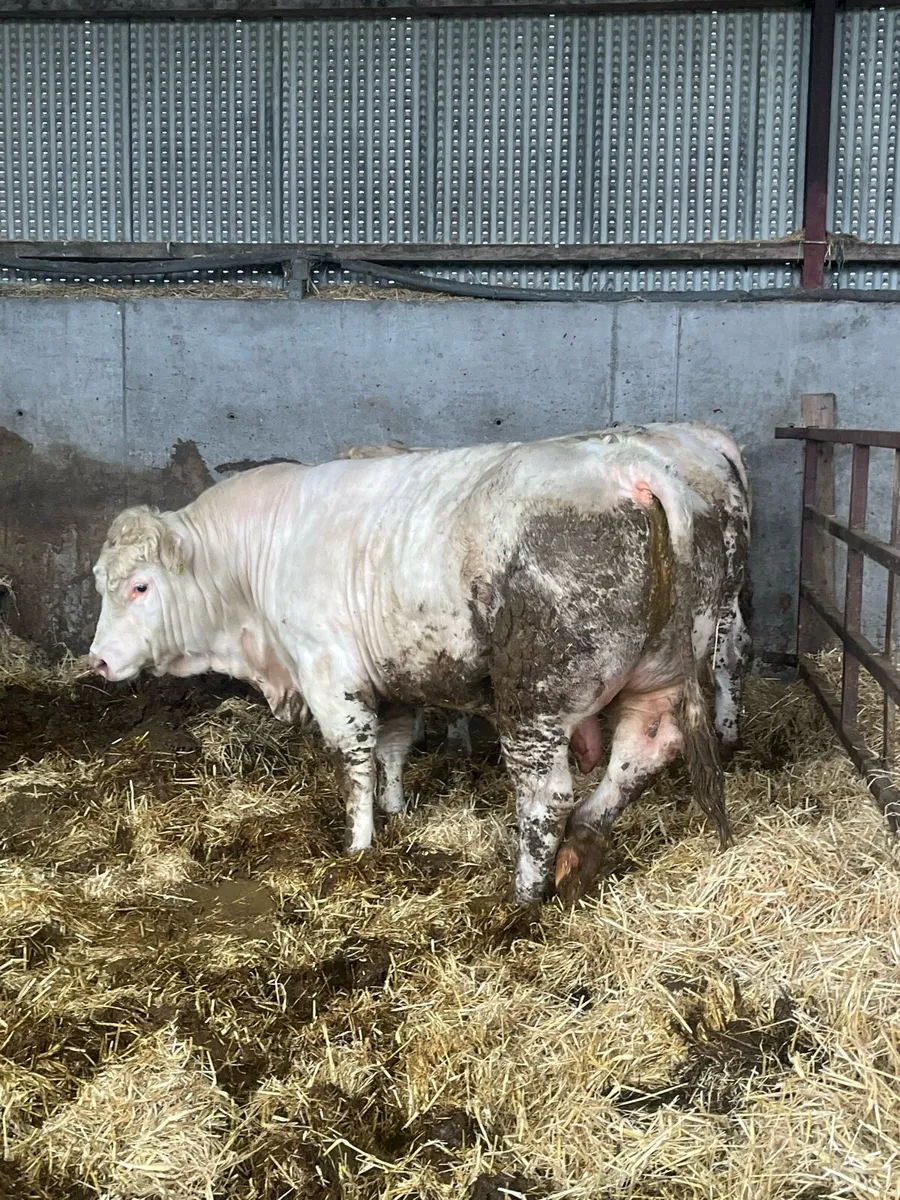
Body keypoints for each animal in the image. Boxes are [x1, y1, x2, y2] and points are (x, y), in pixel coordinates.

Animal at [89, 433, 731, 904]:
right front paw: (396, 811)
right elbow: (393, 746)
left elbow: (354, 761)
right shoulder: (391, 676)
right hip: (661, 676)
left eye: (140, 586)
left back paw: (523, 895)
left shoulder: (330, 672)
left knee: (546, 796)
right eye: (99, 582)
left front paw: (358, 845)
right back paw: (581, 854)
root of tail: (629, 467)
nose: (97, 659)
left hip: (535, 698)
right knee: (639, 754)